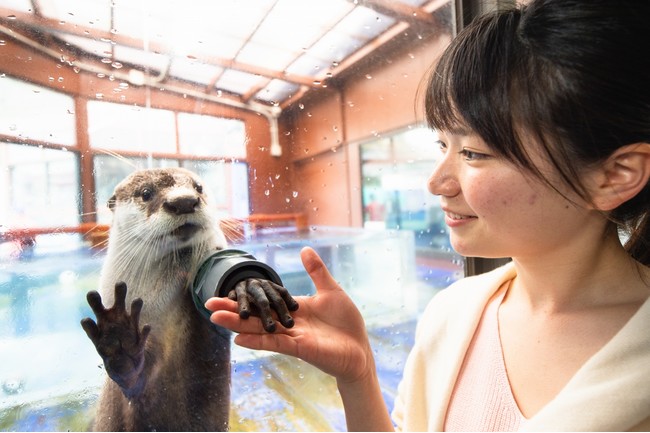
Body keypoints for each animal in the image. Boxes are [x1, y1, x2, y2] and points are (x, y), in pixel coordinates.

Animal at [79, 167, 298, 430]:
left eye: (198, 187)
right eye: (146, 193)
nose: (183, 201)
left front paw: (251, 285)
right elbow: (129, 377)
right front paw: (118, 336)